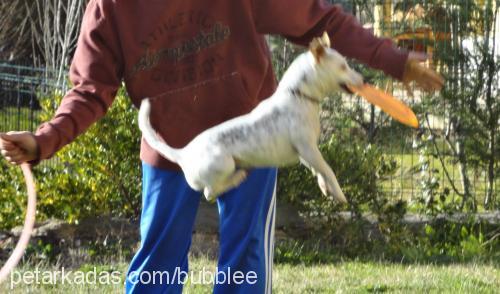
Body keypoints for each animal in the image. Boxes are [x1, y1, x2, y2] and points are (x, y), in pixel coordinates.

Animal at [139, 32, 362, 202]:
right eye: (343, 66)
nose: (361, 79)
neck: (299, 95)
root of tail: (183, 154)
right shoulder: (308, 147)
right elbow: (329, 169)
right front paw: (340, 193)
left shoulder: (306, 153)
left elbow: (319, 171)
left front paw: (325, 187)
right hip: (223, 164)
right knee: (209, 192)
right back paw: (237, 178)